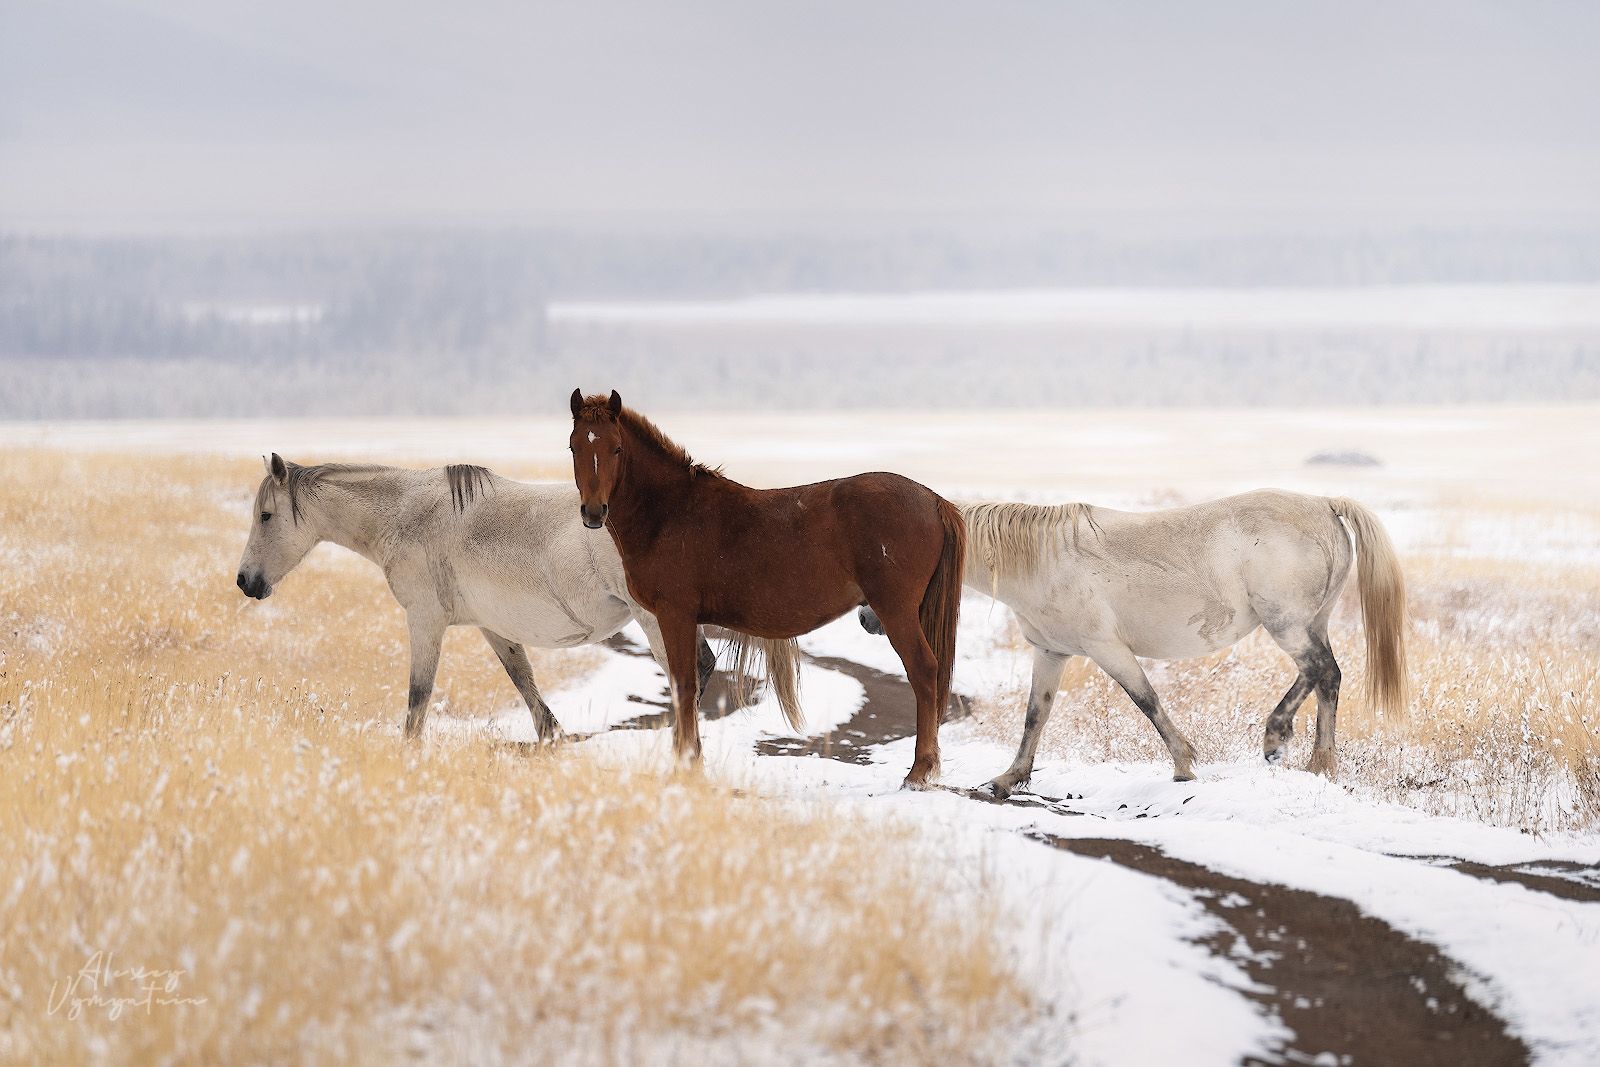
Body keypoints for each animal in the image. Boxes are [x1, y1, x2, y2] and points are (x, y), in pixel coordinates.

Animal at [233, 457, 716, 742]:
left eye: (266, 516)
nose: (244, 581)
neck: (405, 513)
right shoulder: (494, 628)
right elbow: (530, 695)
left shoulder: (424, 621)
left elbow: (418, 699)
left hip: (653, 619)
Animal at [572, 388, 960, 790]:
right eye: (574, 447)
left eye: (616, 448)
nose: (593, 512)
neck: (670, 512)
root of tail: (932, 499)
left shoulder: (674, 615)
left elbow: (683, 685)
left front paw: (686, 764)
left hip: (897, 611)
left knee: (923, 671)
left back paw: (919, 771)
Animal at [870, 489, 1408, 793]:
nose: (870, 620)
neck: (1042, 559)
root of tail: (1324, 505)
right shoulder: (1051, 652)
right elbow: (1035, 716)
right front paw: (1009, 779)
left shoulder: (1108, 650)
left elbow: (1146, 701)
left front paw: (1184, 767)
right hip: (1311, 624)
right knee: (1326, 678)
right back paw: (1313, 760)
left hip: (1288, 626)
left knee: (1320, 672)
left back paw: (1289, 747)